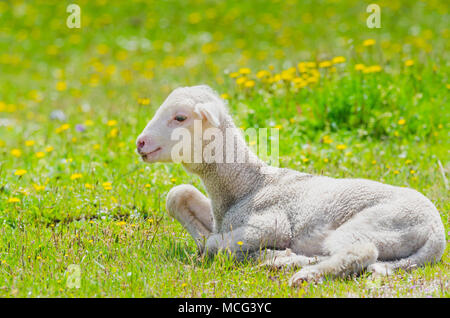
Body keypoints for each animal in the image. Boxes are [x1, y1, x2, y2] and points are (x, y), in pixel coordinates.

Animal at [135, 85, 444, 286]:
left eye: (180, 117)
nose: (140, 143)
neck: (248, 186)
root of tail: (437, 235)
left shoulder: (271, 222)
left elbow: (216, 245)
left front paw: (230, 249)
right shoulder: (221, 215)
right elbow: (178, 194)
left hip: (379, 223)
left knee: (360, 251)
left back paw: (301, 273)